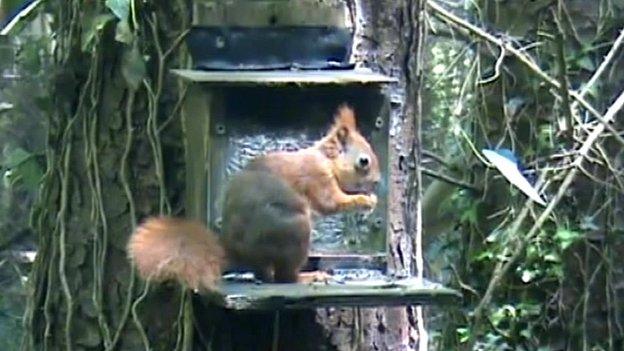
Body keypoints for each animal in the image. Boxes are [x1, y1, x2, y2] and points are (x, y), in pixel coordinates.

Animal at [127, 106, 380, 292]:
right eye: (363, 162)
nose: (377, 182)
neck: (326, 160)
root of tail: (237, 252)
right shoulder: (316, 177)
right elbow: (331, 203)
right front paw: (366, 201)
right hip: (293, 228)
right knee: (283, 278)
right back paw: (308, 277)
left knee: (266, 275)